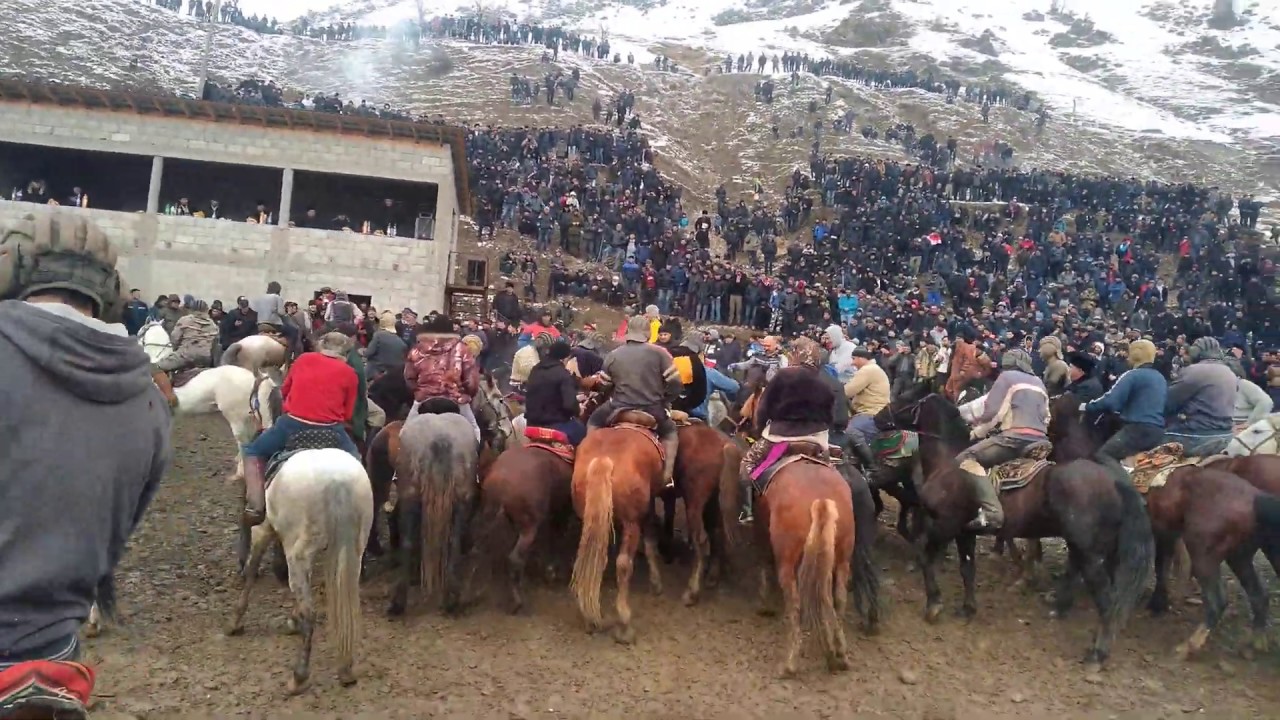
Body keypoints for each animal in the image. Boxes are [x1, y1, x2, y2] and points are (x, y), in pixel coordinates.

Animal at [225, 448, 373, 691]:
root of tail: (337, 480)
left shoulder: (263, 529)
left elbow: (251, 571)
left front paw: (235, 621)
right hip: (354, 550)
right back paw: (346, 669)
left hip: (298, 553)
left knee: (310, 611)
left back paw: (299, 675)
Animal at [573, 412, 670, 640]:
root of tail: (604, 459)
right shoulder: (647, 508)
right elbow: (650, 540)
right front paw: (656, 583)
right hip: (631, 522)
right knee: (624, 564)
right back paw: (625, 623)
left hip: (589, 519)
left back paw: (589, 619)